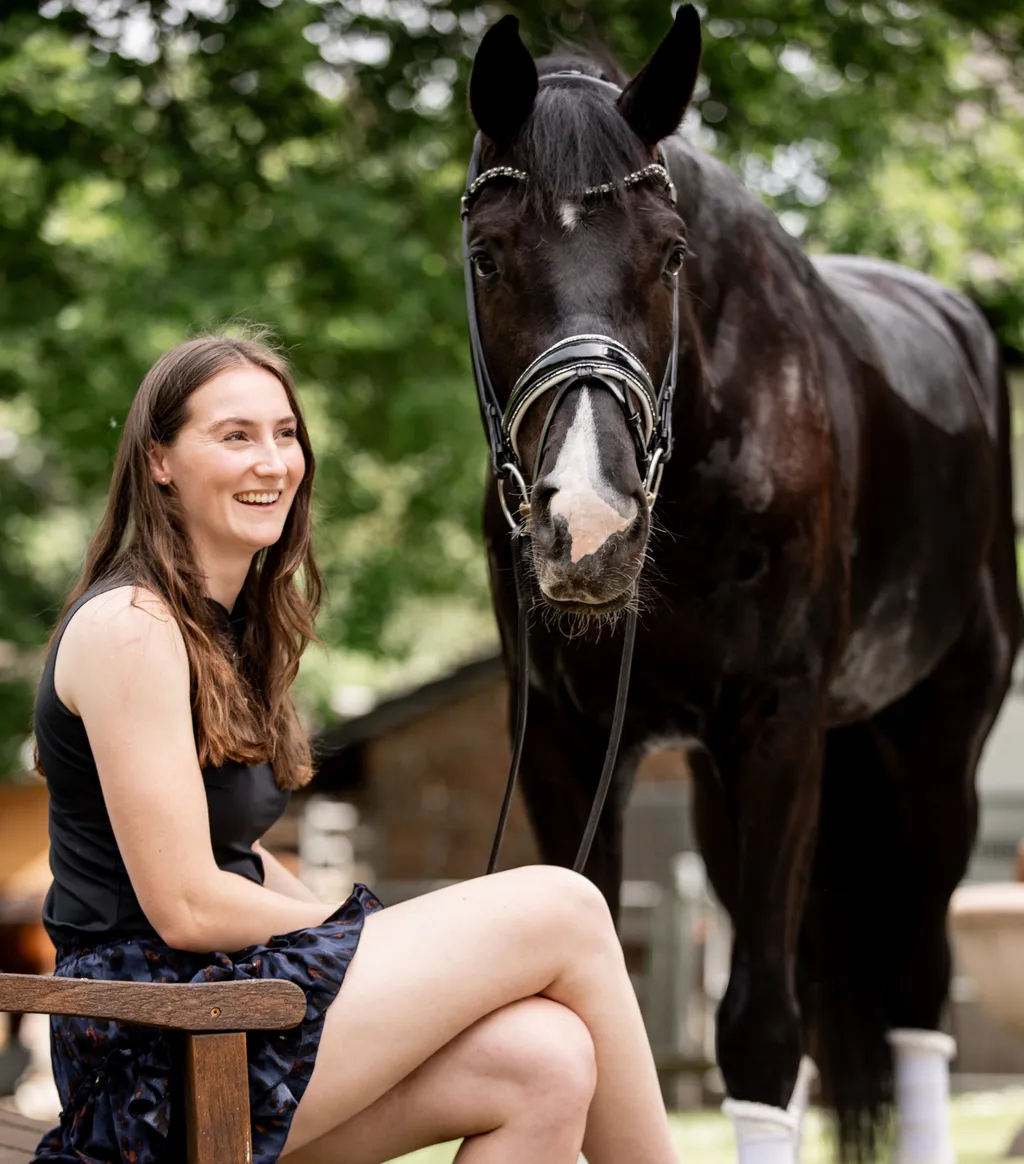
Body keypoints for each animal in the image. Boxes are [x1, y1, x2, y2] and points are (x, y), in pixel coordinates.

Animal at [461, 7, 1022, 1161]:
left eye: (670, 254)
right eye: (488, 255)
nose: (591, 525)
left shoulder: (777, 722)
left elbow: (760, 1027)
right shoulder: (565, 739)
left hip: (932, 756)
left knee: (918, 996)